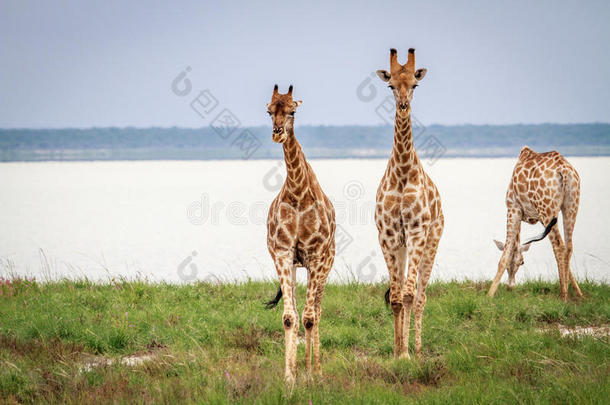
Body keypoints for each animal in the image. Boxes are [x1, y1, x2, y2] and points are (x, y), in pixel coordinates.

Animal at [484, 145, 580, 300]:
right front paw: (579, 293)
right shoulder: (537, 217)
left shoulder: (513, 208)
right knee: (568, 247)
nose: (511, 287)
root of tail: (564, 171)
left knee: (559, 247)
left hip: (547, 209)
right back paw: (570, 293)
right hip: (570, 205)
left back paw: (563, 295)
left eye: (522, 262)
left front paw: (489, 295)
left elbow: (505, 254)